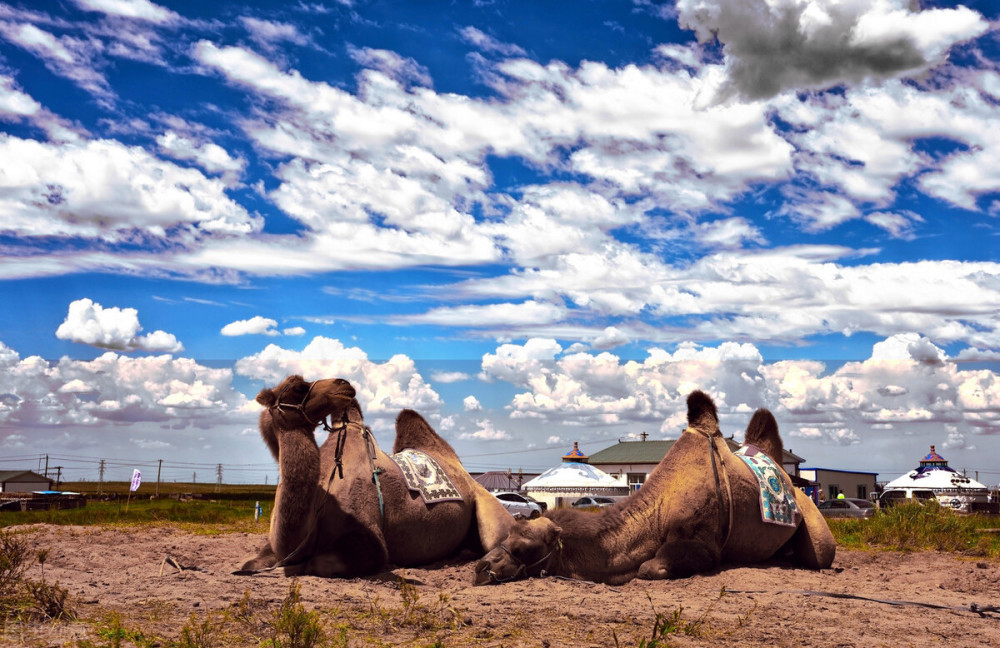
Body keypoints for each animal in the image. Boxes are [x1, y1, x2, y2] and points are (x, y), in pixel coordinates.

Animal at [237, 374, 512, 576]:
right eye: (299, 388)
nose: (343, 383)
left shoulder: (368, 540)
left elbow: (317, 564)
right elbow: (250, 564)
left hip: (485, 501)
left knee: (501, 538)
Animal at [472, 390, 832, 588]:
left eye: (525, 547)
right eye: (506, 537)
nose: (480, 568)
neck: (658, 514)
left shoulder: (704, 546)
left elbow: (648, 568)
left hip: (814, 525)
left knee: (820, 552)